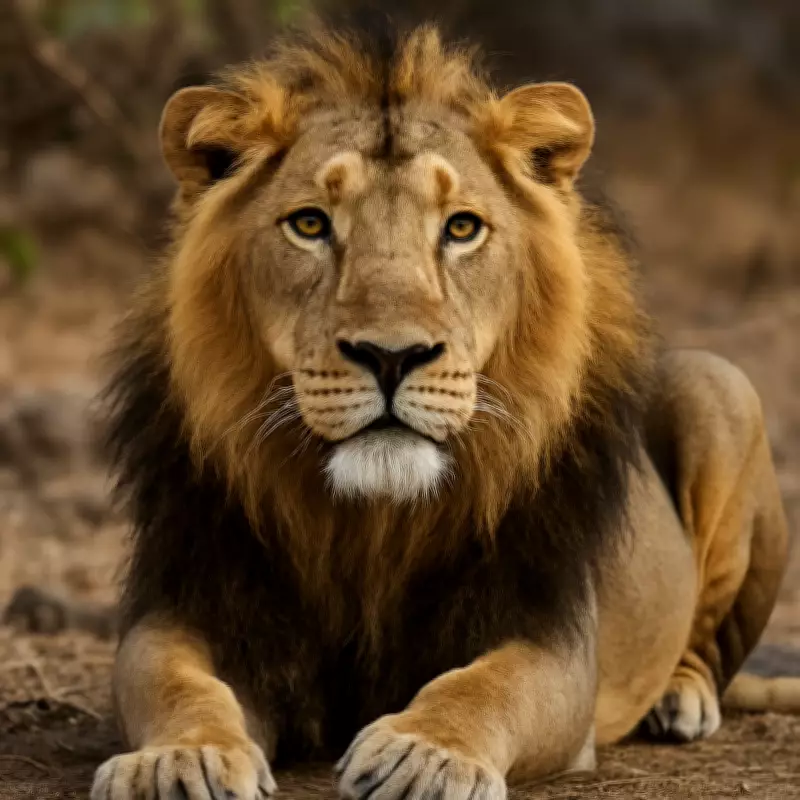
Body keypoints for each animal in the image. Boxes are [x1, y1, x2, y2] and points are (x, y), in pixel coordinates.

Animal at [90, 24, 796, 800]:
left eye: (461, 229)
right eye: (309, 224)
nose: (391, 356)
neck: (369, 525)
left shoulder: (547, 633)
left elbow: (485, 687)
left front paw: (425, 754)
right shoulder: (190, 602)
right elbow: (176, 682)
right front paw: (177, 759)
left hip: (720, 385)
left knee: (712, 648)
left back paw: (679, 698)